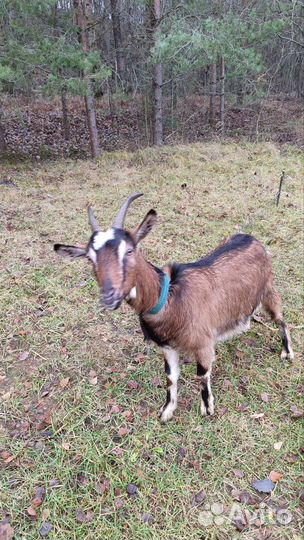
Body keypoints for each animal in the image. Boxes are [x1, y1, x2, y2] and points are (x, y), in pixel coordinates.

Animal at [53, 193, 294, 422]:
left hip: (268, 289)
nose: (109, 296)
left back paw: (287, 352)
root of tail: (251, 238)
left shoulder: (203, 343)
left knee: (281, 319)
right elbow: (170, 378)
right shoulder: (167, 347)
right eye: (90, 258)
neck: (170, 299)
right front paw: (167, 411)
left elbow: (202, 375)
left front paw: (207, 408)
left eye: (130, 250)